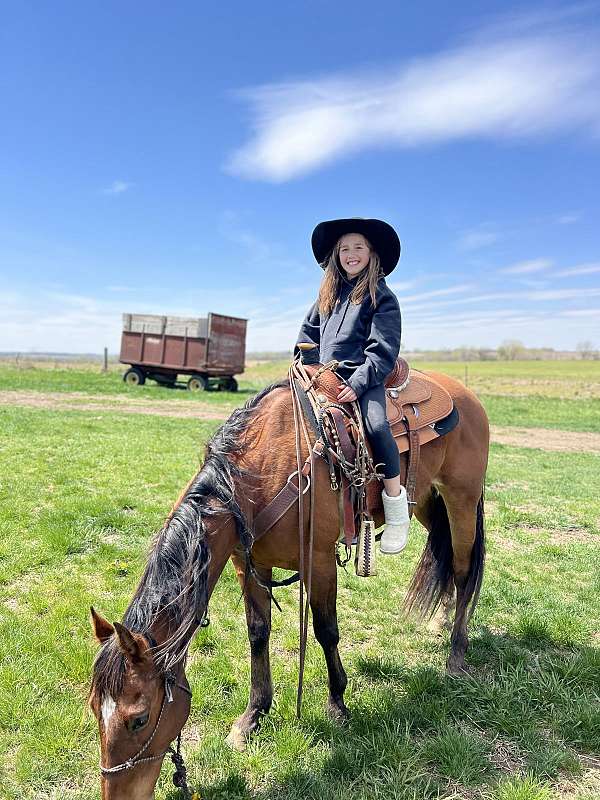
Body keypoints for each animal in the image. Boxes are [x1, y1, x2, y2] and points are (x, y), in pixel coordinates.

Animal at [89, 374, 488, 800]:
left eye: (139, 718)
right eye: (95, 709)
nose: (115, 796)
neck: (257, 479)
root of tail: (465, 395)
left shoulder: (319, 561)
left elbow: (326, 631)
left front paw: (338, 705)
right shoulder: (249, 567)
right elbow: (257, 634)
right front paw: (252, 717)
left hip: (461, 499)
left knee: (462, 570)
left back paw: (457, 652)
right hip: (429, 500)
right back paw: (439, 622)